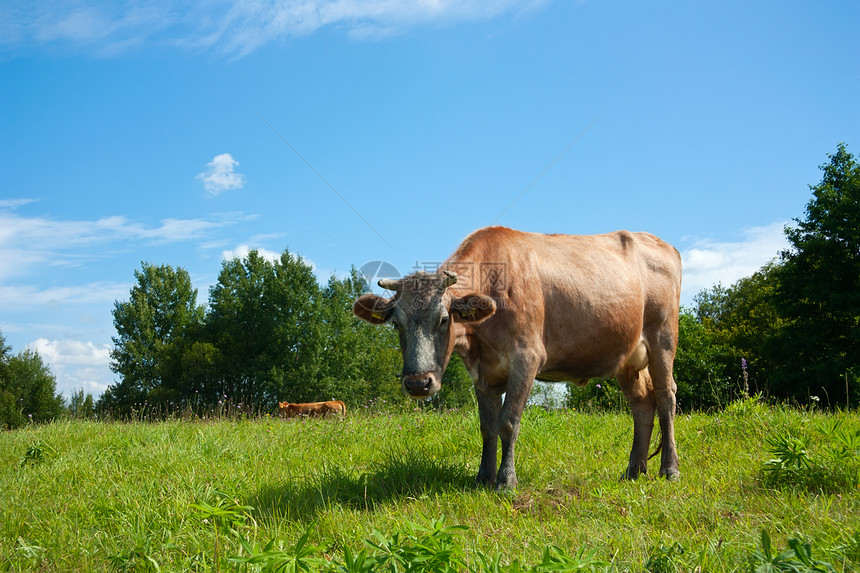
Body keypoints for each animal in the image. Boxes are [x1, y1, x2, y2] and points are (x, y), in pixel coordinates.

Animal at [352, 226, 680, 490]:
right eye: (397, 324)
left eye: (444, 320)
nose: (418, 383)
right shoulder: (482, 372)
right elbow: (487, 426)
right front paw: (483, 477)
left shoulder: (527, 358)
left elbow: (508, 421)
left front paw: (505, 480)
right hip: (627, 357)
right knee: (642, 404)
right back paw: (634, 470)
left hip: (663, 337)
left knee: (665, 397)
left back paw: (670, 469)